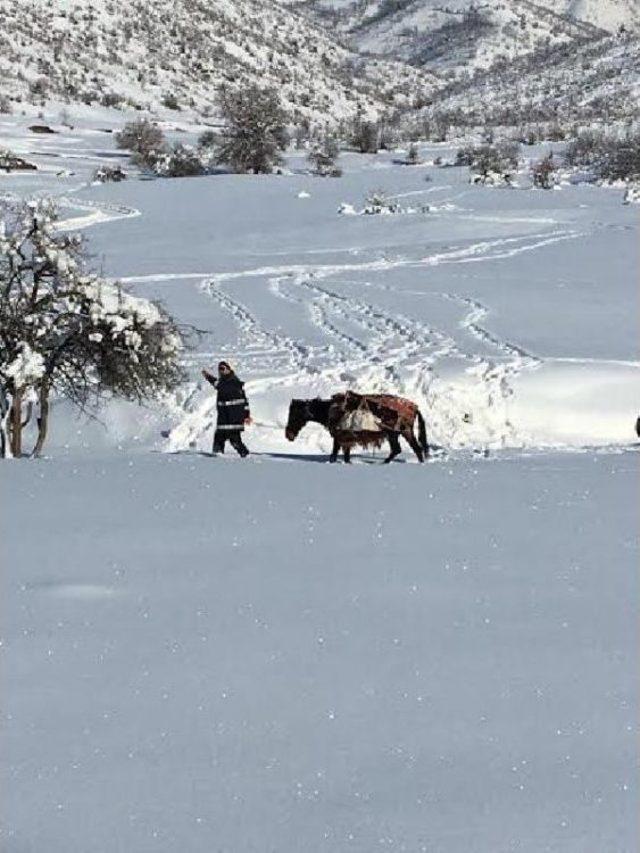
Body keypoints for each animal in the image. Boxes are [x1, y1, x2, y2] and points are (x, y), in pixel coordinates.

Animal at [286, 390, 430, 462]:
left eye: (293, 415)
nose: (288, 435)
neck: (330, 410)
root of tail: (414, 407)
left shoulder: (340, 437)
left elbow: (336, 454)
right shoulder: (344, 439)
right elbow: (342, 455)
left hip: (399, 433)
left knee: (411, 449)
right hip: (396, 434)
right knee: (404, 450)